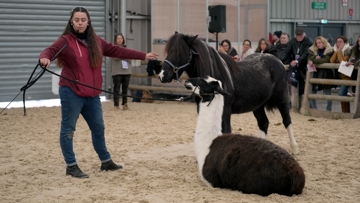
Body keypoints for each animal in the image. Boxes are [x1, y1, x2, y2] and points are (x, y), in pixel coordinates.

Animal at [159, 31, 300, 154]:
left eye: (178, 52)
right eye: (168, 51)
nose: (162, 75)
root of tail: (278, 61)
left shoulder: (225, 112)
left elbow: (225, 131)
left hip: (282, 99)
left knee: (287, 121)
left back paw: (294, 148)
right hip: (257, 105)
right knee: (263, 123)